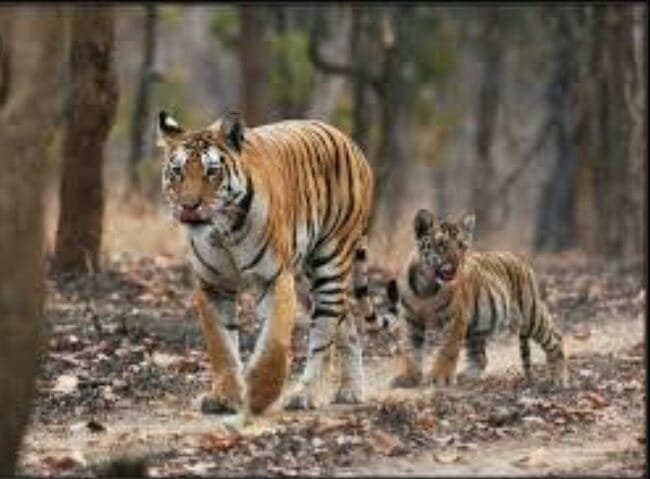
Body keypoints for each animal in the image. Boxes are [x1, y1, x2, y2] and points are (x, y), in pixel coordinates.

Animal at [157, 109, 386, 417]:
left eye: (212, 171)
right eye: (177, 171)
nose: (189, 206)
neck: (222, 231)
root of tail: (348, 141)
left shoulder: (274, 279)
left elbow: (274, 342)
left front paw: (260, 394)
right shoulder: (212, 286)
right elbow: (221, 345)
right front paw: (224, 397)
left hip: (330, 263)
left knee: (324, 332)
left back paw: (306, 393)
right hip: (307, 277)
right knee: (346, 321)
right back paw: (351, 390)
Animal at [387, 208, 569, 389]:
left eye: (462, 246)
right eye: (441, 244)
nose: (456, 264)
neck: (427, 288)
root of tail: (521, 260)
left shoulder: (455, 320)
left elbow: (447, 349)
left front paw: (440, 378)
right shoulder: (411, 320)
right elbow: (411, 350)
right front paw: (408, 377)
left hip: (530, 314)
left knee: (556, 339)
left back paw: (559, 379)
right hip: (477, 328)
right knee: (480, 357)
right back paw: (467, 377)